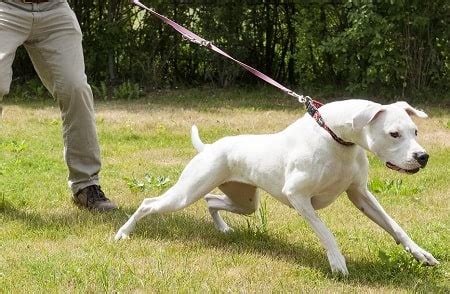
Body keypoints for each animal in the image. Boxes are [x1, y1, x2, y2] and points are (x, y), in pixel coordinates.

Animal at [114, 100, 438, 274]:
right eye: (393, 134)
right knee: (149, 203)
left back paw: (223, 228)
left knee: (211, 201)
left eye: (415, 131)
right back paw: (123, 233)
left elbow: (394, 226)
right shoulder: (299, 197)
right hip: (185, 194)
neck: (335, 138)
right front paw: (337, 263)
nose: (422, 157)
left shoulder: (360, 194)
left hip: (245, 202)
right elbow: (326, 232)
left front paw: (420, 253)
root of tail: (209, 148)